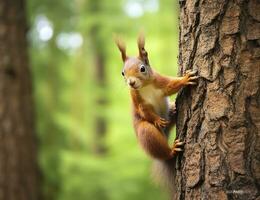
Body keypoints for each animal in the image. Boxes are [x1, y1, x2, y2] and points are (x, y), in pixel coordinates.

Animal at [115, 33, 198, 190]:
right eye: (123, 73)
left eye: (142, 68)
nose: (131, 83)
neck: (145, 86)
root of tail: (165, 134)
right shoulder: (138, 101)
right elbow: (145, 112)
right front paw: (157, 120)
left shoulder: (160, 82)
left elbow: (172, 86)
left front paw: (185, 79)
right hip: (147, 133)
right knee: (158, 145)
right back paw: (171, 150)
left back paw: (173, 111)